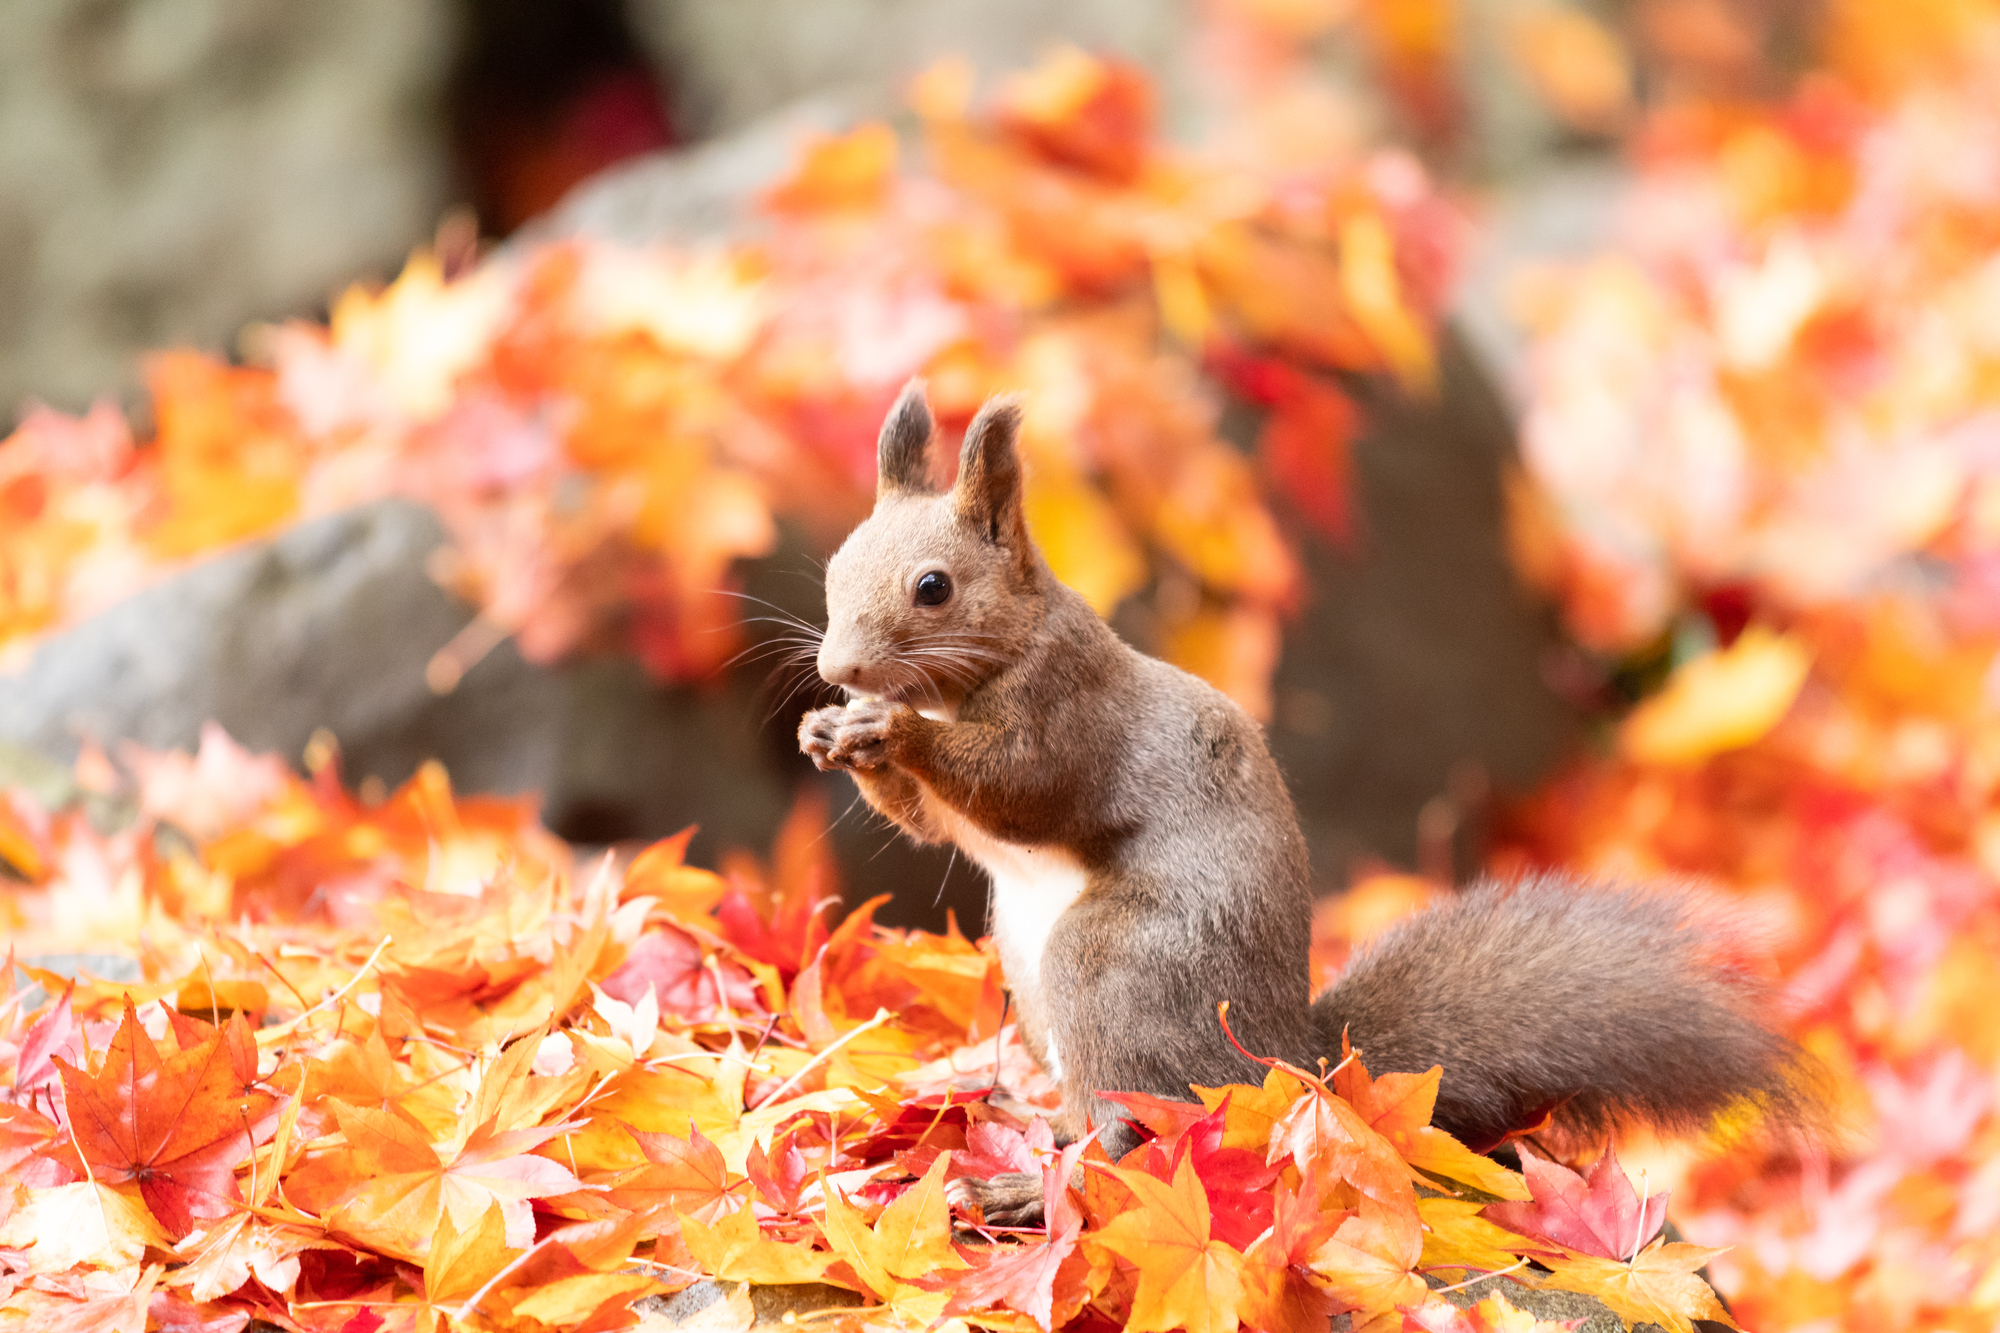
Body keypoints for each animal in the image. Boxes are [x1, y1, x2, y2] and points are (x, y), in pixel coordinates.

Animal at [796, 382, 1816, 1216]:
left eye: (934, 588)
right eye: (834, 566)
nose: (837, 667)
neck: (992, 655)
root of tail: (1291, 1067)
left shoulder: (1069, 711)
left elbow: (1017, 788)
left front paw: (896, 732)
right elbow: (932, 822)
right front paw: (829, 732)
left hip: (1114, 970)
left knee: (1136, 1135)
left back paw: (1034, 1185)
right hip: (1027, 963)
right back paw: (1028, 1122)